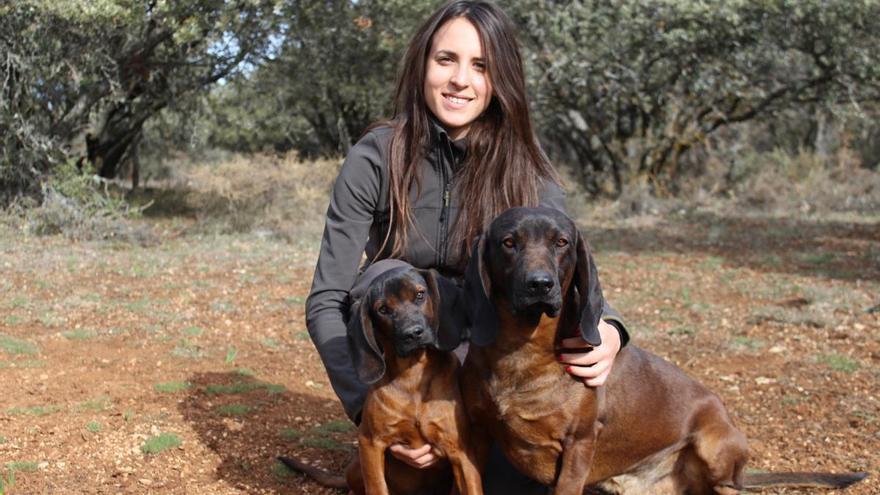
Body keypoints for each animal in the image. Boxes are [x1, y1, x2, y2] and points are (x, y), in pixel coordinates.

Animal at [282, 268, 482, 495]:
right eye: (383, 309)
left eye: (420, 294)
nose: (413, 333)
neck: (412, 376)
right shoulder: (370, 443)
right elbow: (376, 486)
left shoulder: (461, 452)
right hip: (356, 467)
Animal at [460, 206, 868, 495]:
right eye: (508, 243)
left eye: (561, 242)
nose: (539, 284)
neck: (523, 350)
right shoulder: (474, 434)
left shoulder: (579, 445)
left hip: (714, 445)